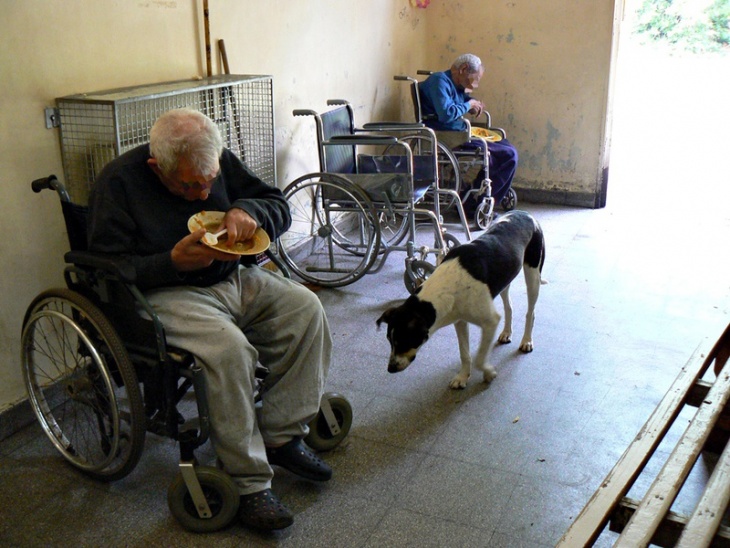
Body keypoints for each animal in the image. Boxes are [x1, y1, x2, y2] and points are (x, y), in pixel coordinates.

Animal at [378, 211, 544, 390]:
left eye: (403, 340)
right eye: (389, 340)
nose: (390, 368)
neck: (448, 285)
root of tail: (524, 213)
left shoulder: (490, 322)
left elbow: (479, 359)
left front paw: (489, 373)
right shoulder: (460, 321)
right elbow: (464, 354)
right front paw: (463, 376)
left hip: (533, 276)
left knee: (530, 312)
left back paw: (527, 341)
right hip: (505, 279)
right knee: (509, 307)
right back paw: (507, 332)